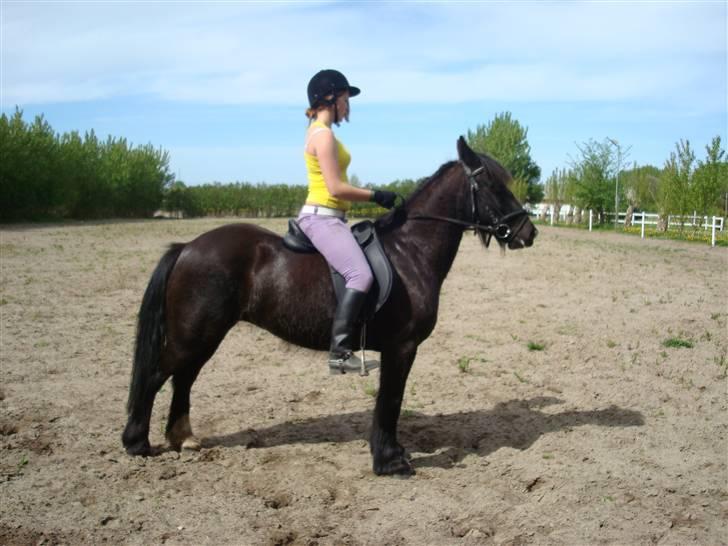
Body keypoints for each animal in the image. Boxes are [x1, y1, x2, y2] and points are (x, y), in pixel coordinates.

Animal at [121, 137, 537, 476]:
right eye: (493, 185)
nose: (527, 232)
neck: (410, 250)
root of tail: (187, 247)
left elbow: (389, 402)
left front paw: (389, 455)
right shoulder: (402, 348)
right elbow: (391, 401)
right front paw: (390, 461)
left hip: (203, 336)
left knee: (183, 378)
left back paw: (183, 438)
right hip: (194, 334)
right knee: (157, 376)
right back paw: (136, 443)